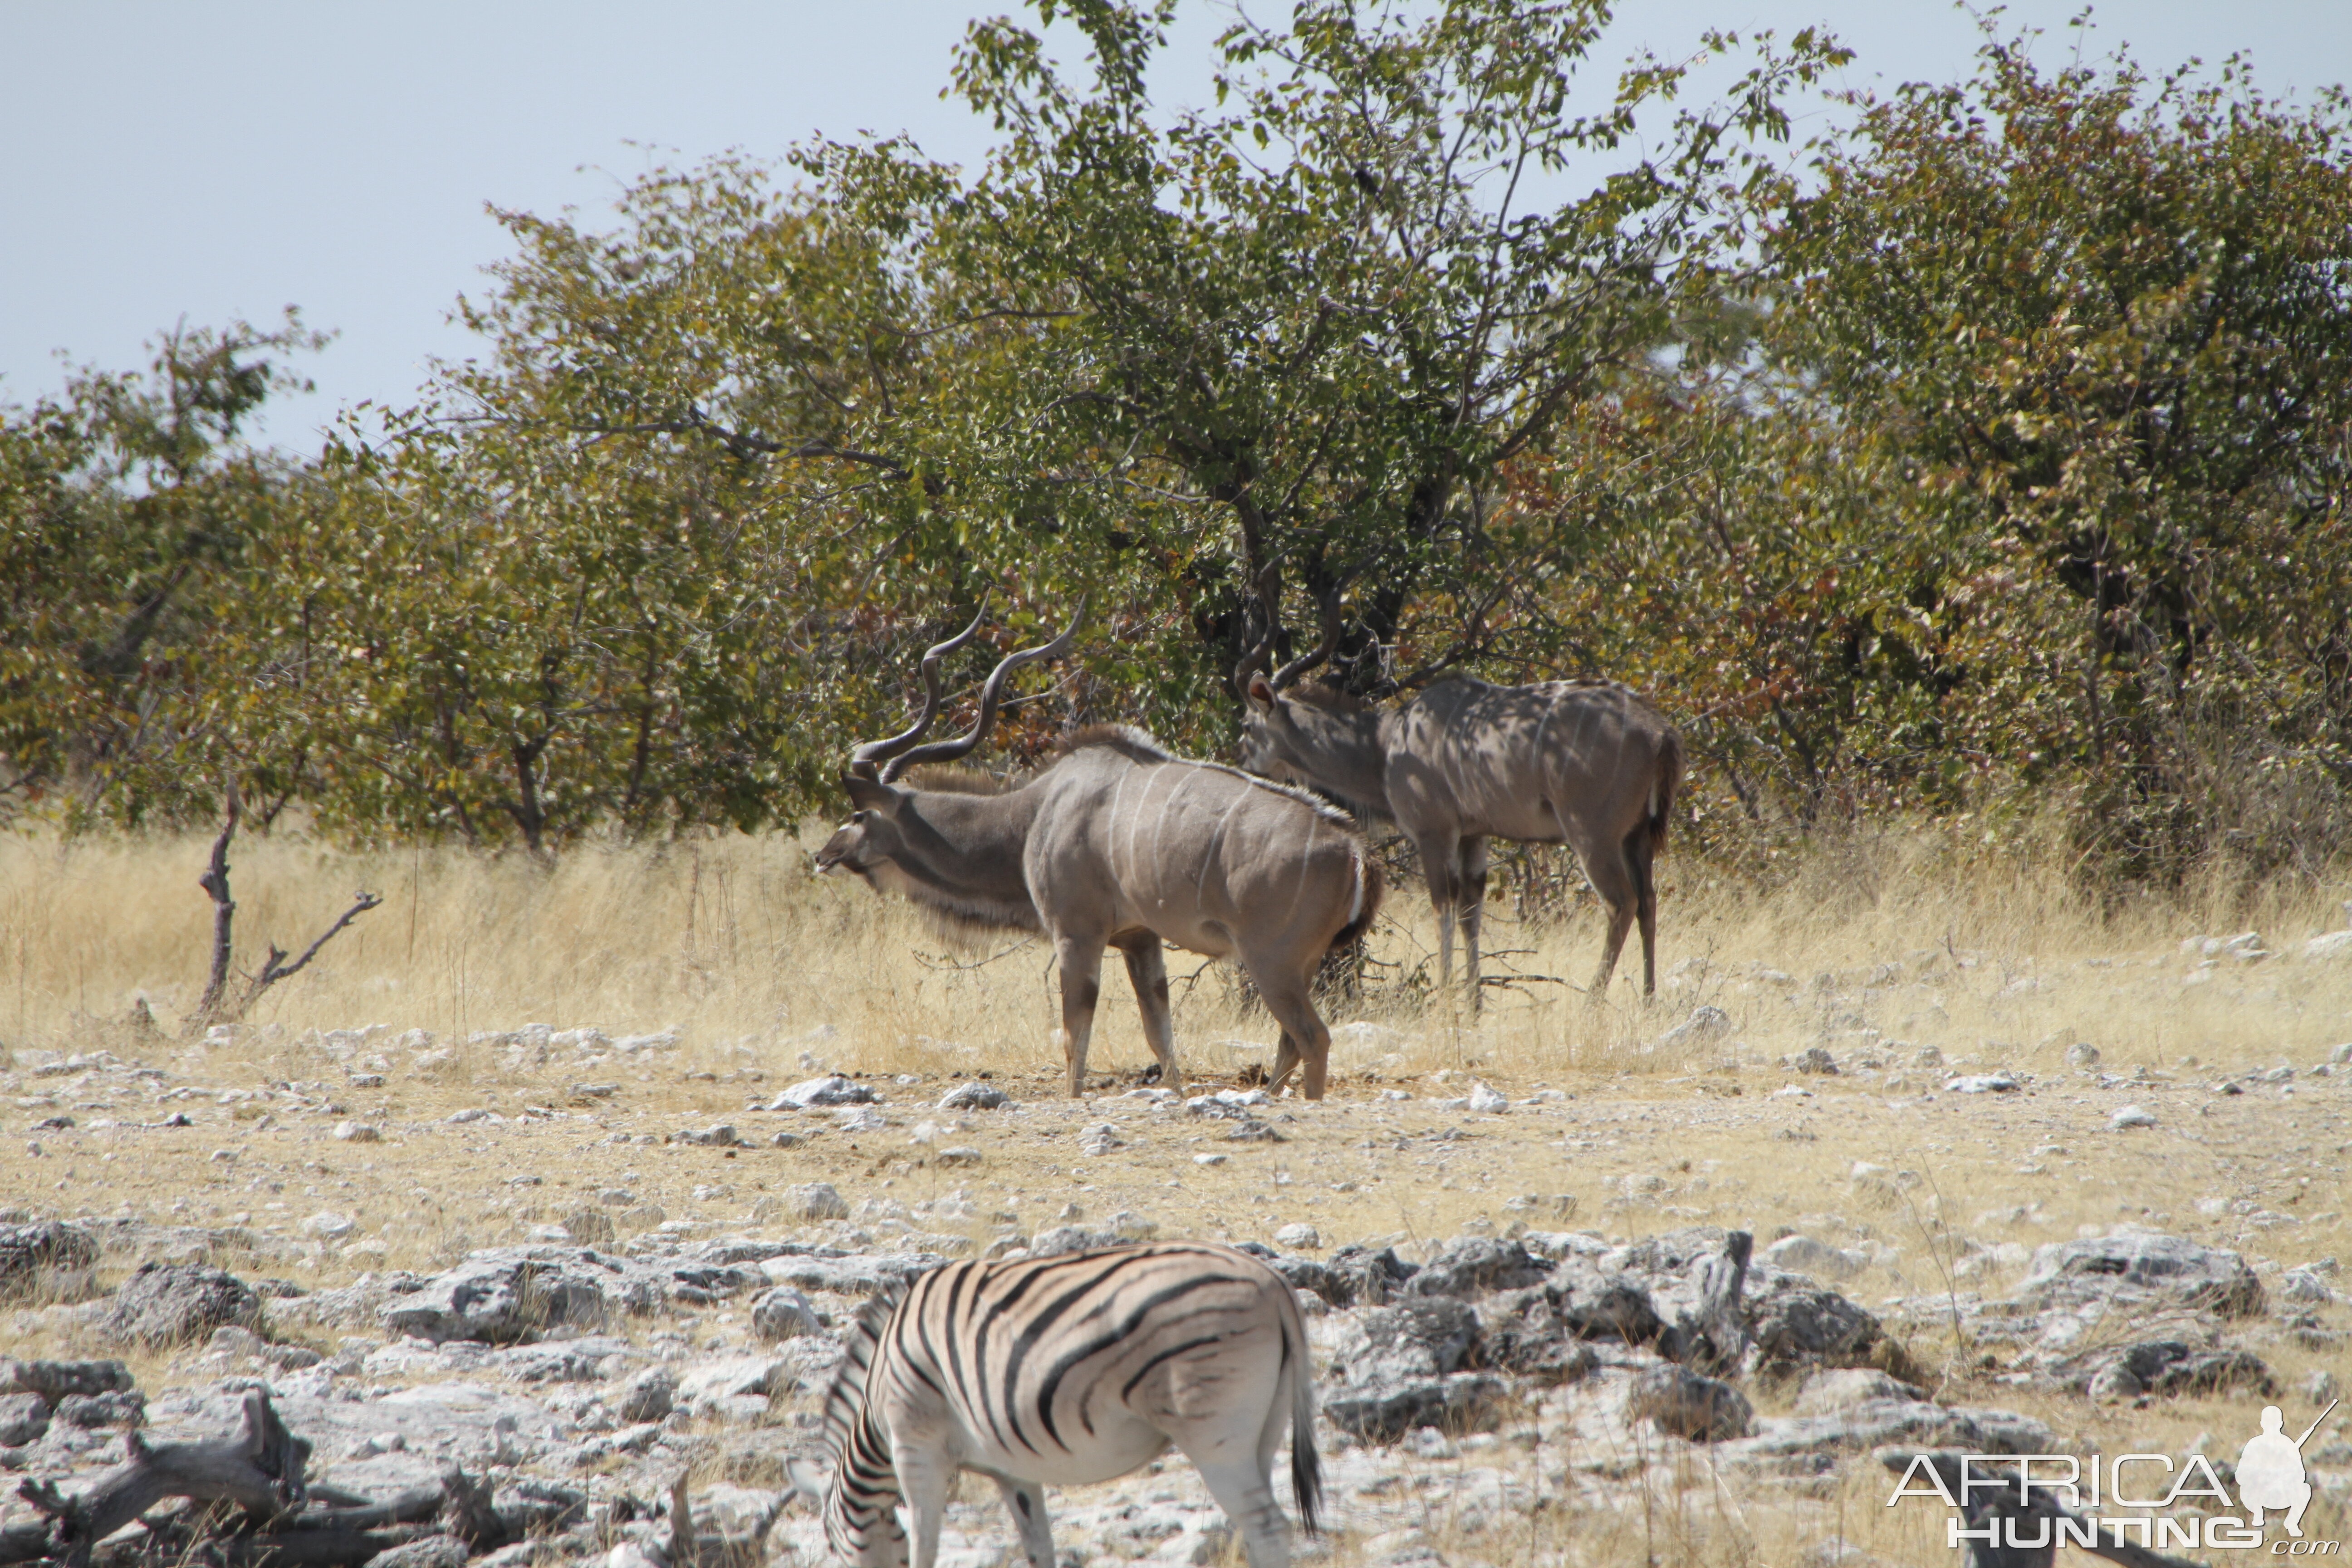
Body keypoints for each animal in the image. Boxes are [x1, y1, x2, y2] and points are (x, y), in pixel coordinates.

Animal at [790, 1241, 1326, 1568]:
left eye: (832, 1546)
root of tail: (1273, 1281)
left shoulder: (915, 1447)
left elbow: (925, 1545)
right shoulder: (1013, 1470)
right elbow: (1038, 1548)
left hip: (1216, 1438)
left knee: (1268, 1526)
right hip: (1262, 1432)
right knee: (1260, 1527)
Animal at [823, 611, 1383, 1105]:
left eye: (857, 815)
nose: (824, 854)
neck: (1033, 815)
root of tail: (1355, 851)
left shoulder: (1078, 934)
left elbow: (1077, 1039)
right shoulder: (1140, 939)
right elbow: (1160, 1035)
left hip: (1272, 961)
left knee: (1312, 1037)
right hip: (1302, 965)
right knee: (1291, 1042)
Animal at [1242, 667, 1684, 1001]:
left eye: (1247, 726)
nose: (1245, 767)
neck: (1385, 747)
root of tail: (1659, 732)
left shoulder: (1434, 832)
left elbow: (1444, 907)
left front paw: (1445, 1001)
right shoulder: (1474, 835)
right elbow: (1472, 910)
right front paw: (1473, 1004)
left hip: (1592, 833)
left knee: (1621, 902)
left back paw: (1592, 1001)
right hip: (1637, 838)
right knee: (1648, 902)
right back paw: (1648, 1000)